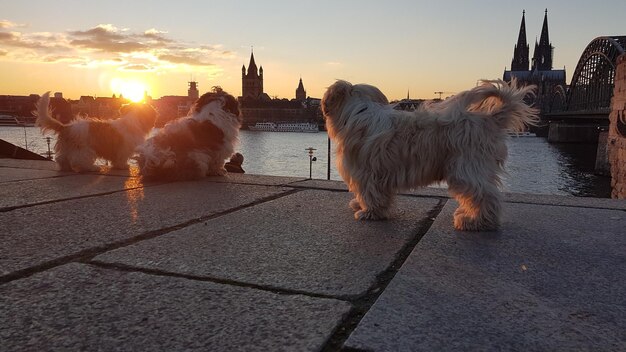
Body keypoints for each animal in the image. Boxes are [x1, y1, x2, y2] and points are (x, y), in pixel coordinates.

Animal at [322, 79, 536, 231]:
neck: (358, 112)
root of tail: (489, 119)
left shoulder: (366, 172)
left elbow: (371, 194)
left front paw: (369, 213)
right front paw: (362, 206)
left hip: (466, 169)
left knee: (486, 195)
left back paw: (476, 221)